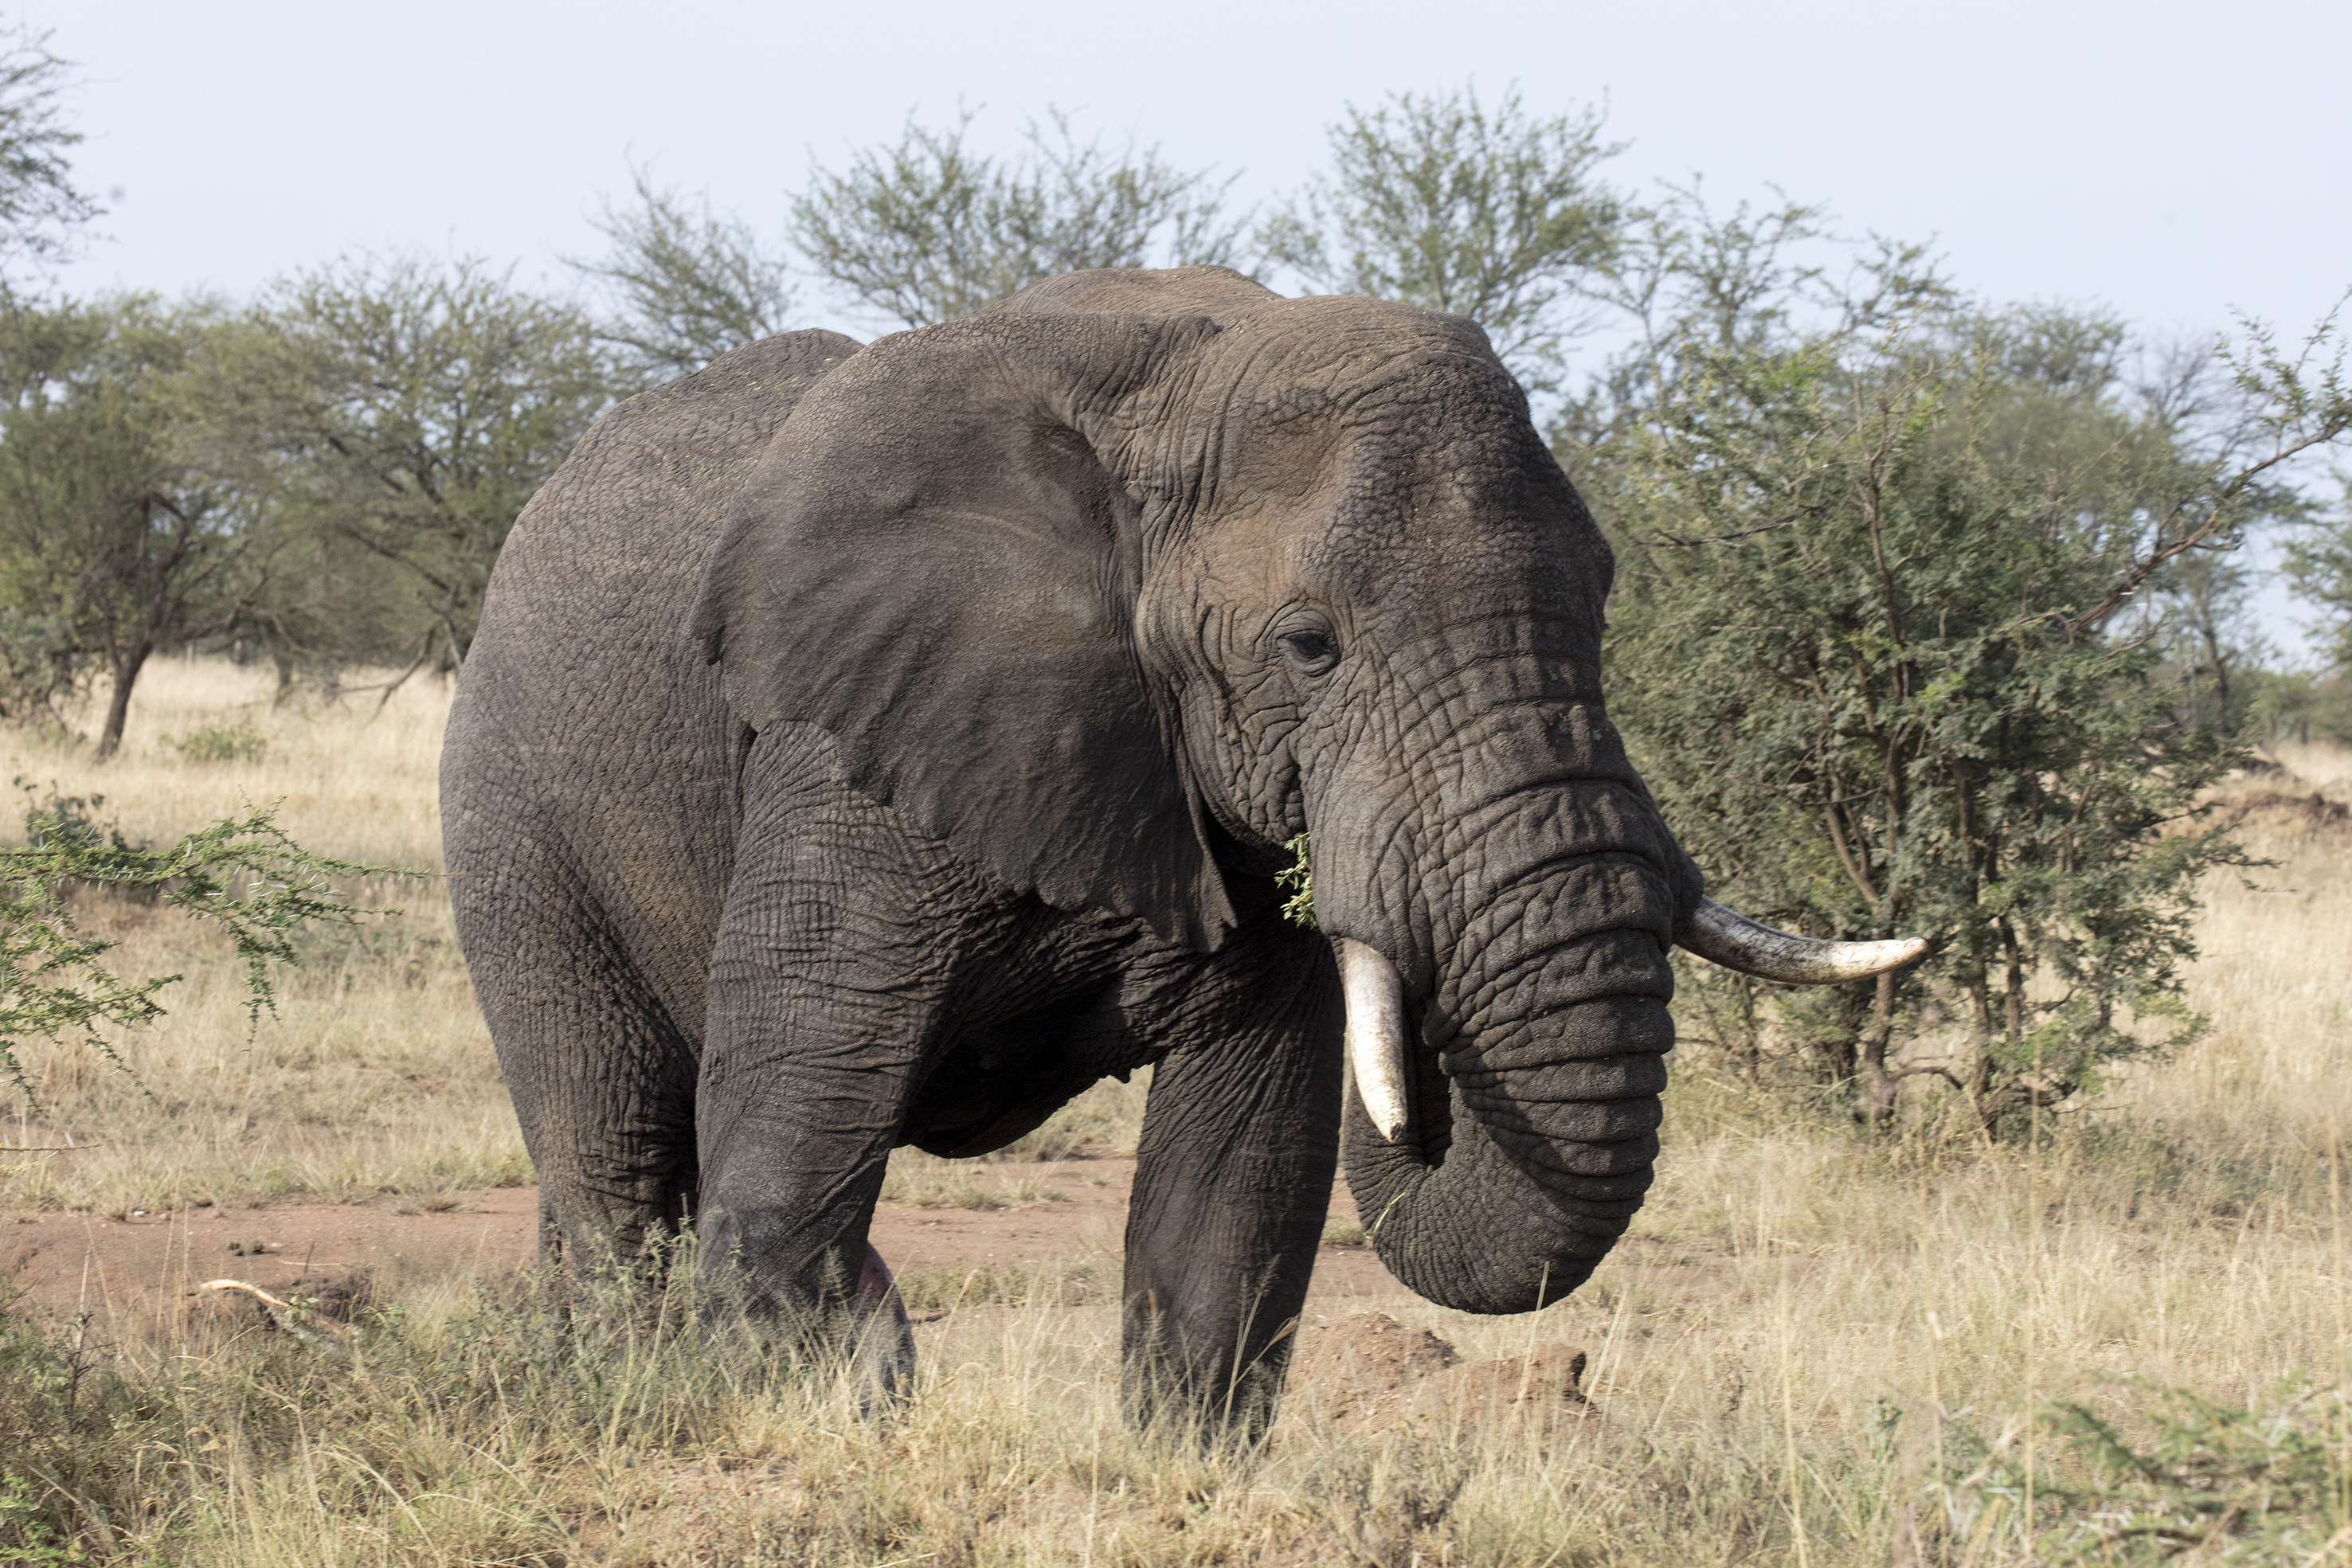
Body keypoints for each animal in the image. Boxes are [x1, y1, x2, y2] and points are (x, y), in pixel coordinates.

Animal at [440, 264, 1921, 1431]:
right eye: (1308, 645)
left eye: (1604, 599)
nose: (1431, 1060)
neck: (1178, 378)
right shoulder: (844, 741)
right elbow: (795, 1133)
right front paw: (799, 1421)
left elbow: (1241, 1169)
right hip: (510, 821)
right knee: (617, 1152)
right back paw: (619, 1390)